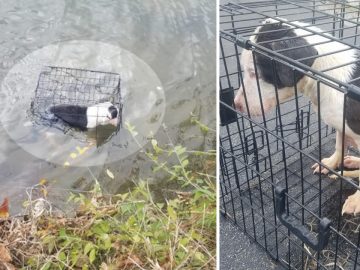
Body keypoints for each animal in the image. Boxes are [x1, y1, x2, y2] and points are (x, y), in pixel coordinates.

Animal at [232, 17, 360, 215]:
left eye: (254, 73)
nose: (235, 104)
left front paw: (355, 201)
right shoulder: (340, 124)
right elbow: (339, 145)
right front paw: (329, 164)